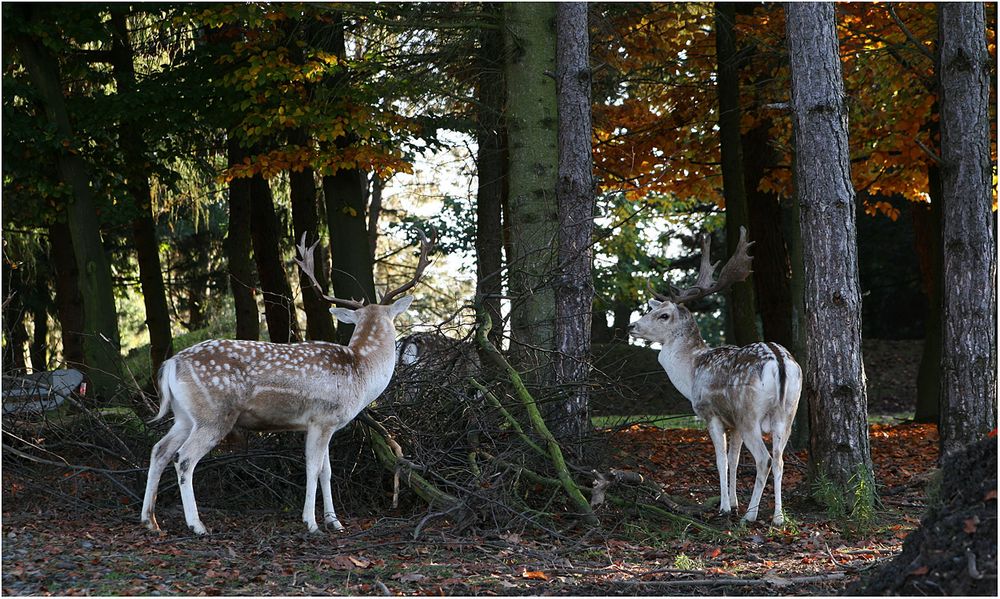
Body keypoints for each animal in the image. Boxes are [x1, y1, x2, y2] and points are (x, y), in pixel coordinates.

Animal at [142, 230, 434, 536]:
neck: (361, 372)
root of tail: (171, 364)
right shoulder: (322, 418)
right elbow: (313, 469)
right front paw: (312, 523)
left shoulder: (325, 425)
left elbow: (327, 471)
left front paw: (335, 521)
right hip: (214, 415)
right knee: (184, 458)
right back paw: (197, 525)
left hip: (185, 416)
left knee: (159, 450)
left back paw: (150, 521)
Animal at [632, 230, 804, 524]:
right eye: (651, 310)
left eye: (663, 315)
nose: (632, 326)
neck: (691, 372)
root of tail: (779, 360)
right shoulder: (732, 423)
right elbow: (733, 460)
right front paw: (733, 502)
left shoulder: (711, 413)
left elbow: (721, 460)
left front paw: (725, 507)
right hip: (788, 412)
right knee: (780, 459)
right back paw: (778, 517)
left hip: (749, 414)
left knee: (764, 459)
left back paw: (750, 516)